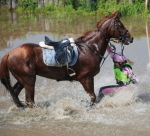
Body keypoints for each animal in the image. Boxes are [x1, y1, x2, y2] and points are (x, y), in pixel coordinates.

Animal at [0, 13, 134, 108]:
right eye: (120, 25)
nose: (130, 38)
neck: (90, 48)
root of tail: (9, 53)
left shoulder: (90, 78)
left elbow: (93, 98)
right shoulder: (85, 78)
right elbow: (92, 97)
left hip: (22, 79)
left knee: (16, 94)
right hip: (29, 80)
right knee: (29, 101)